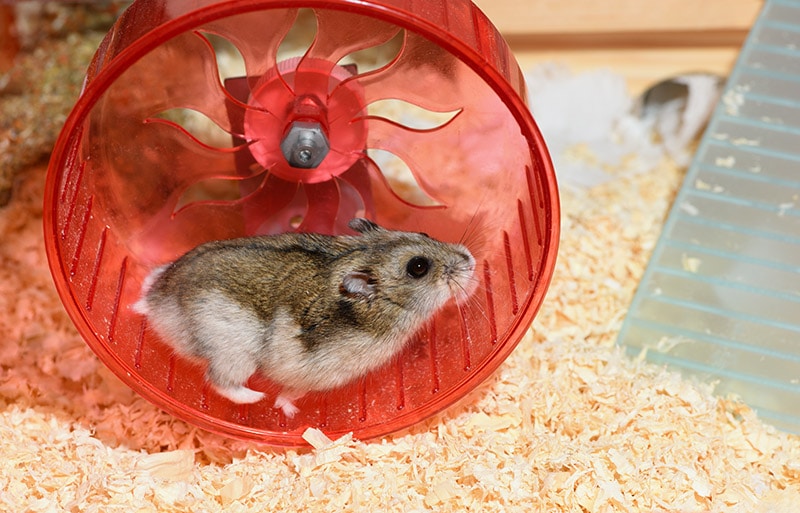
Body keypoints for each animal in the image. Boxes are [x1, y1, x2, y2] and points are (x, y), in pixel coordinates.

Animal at [133, 218, 476, 418]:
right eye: (418, 267)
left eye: (424, 231)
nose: (471, 261)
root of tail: (159, 305)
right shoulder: (317, 373)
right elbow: (294, 391)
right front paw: (286, 408)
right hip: (234, 354)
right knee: (219, 381)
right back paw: (257, 398)